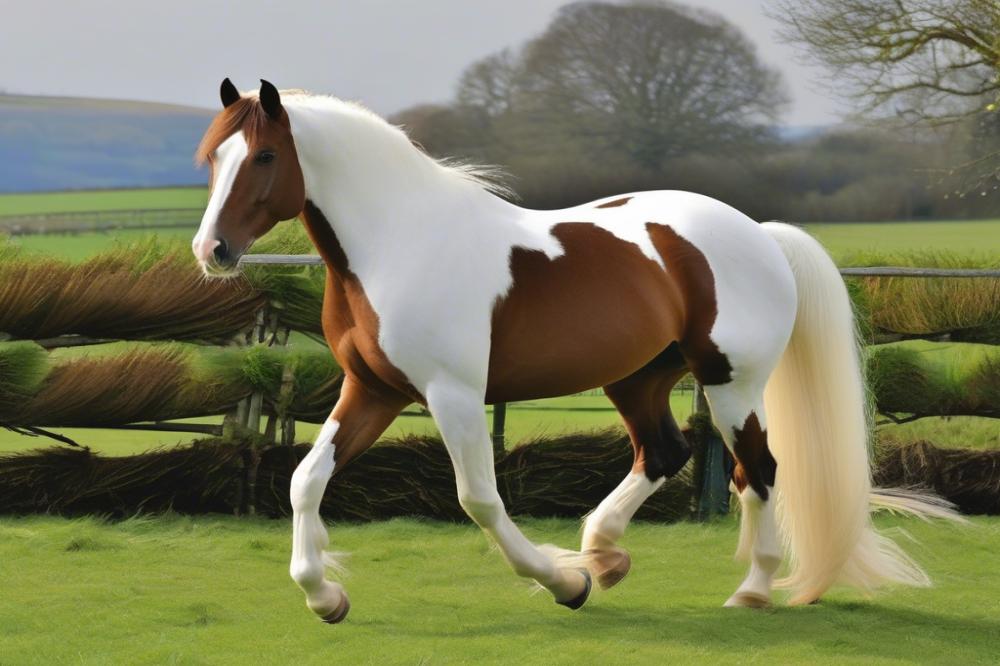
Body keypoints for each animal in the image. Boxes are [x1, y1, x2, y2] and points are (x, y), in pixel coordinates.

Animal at [193, 79, 952, 624]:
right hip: (638, 378)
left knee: (756, 470)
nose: (212, 250)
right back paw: (606, 552)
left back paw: (752, 589)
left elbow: (479, 499)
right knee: (665, 453)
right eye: (212, 159)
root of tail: (760, 233)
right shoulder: (374, 390)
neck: (398, 243)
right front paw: (324, 596)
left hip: (730, 383)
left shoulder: (453, 395)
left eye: (264, 156)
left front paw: (564, 583)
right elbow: (305, 480)